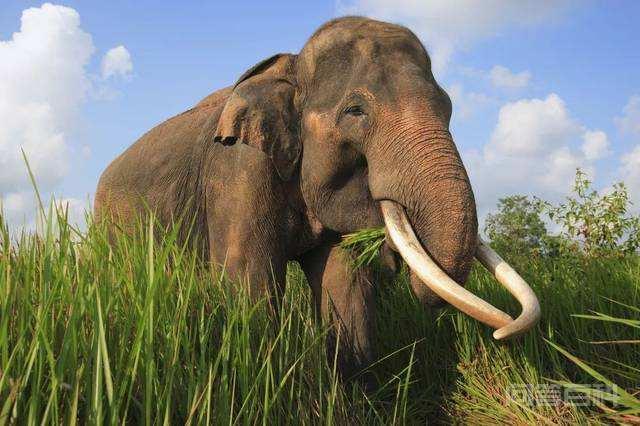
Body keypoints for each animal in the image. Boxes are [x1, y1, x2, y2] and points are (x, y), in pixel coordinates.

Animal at [95, 16, 540, 381]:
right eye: (355, 111)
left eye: (447, 107)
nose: (502, 334)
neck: (290, 67)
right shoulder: (237, 168)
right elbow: (248, 277)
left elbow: (343, 281)